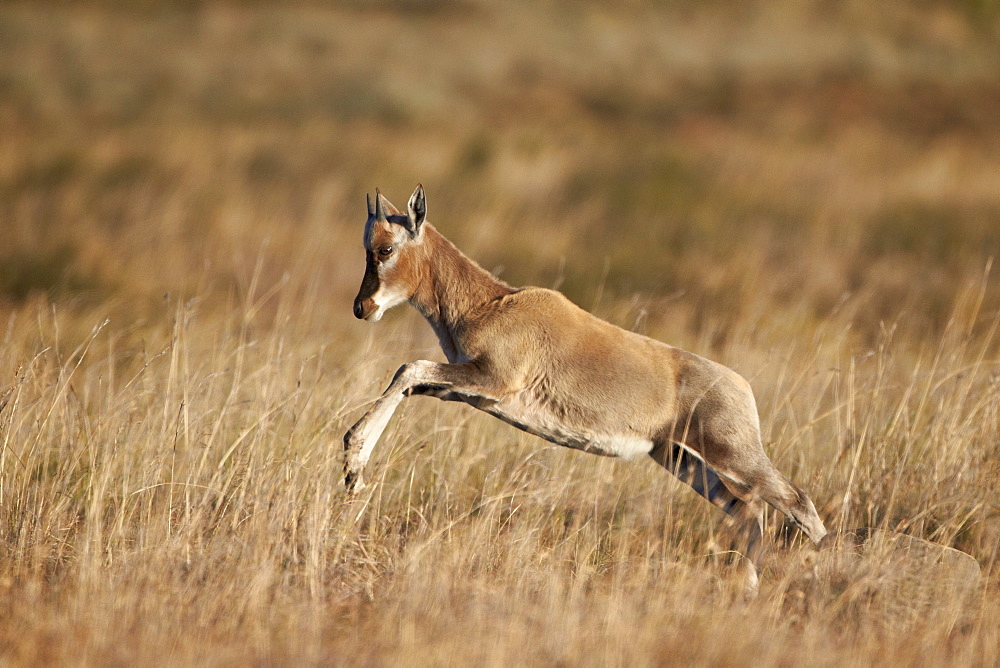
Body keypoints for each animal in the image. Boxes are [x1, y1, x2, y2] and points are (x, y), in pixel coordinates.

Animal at [344, 185, 828, 588]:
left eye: (385, 248)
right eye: (368, 248)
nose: (361, 307)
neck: (495, 302)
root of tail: (741, 386)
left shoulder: (492, 380)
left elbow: (410, 367)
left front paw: (353, 465)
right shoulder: (467, 388)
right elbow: (407, 378)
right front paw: (354, 472)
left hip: (733, 455)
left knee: (797, 502)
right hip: (680, 459)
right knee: (750, 511)